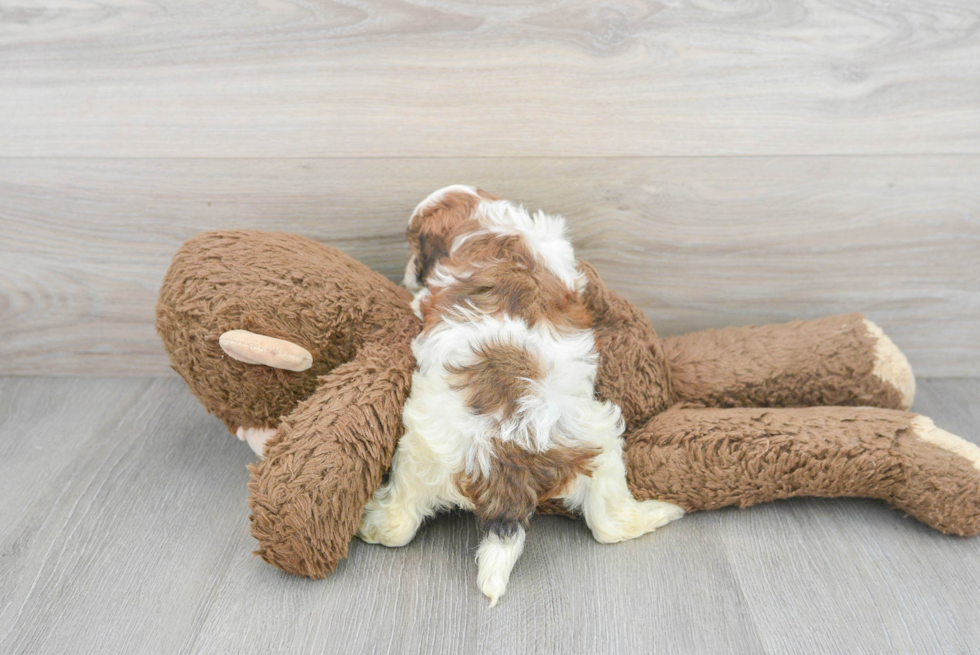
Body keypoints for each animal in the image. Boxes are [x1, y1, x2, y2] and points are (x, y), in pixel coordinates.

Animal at [356, 184, 684, 604]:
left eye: (415, 247)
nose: (409, 271)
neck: (494, 226)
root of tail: (509, 456)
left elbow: (421, 301)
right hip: (598, 445)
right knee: (610, 523)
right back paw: (662, 512)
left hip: (420, 454)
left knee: (400, 522)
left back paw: (371, 522)